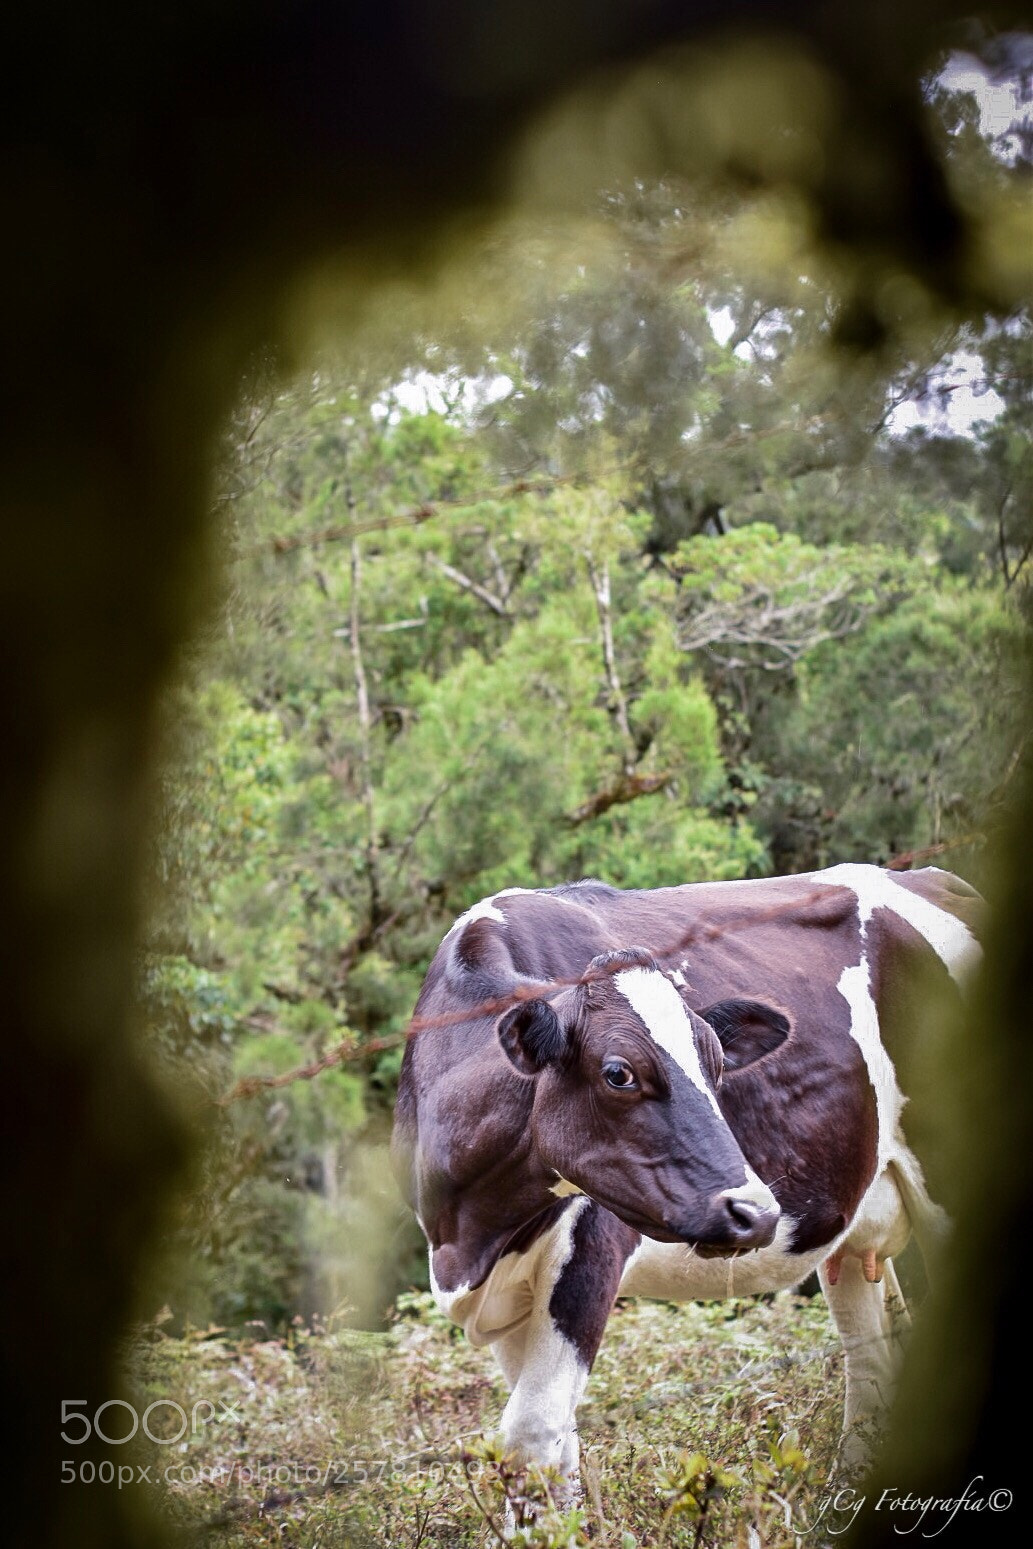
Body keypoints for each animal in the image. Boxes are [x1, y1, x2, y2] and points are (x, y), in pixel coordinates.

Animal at [391, 864, 982, 1495]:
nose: (757, 1212)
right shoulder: (502, 1292)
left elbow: (532, 1435)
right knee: (871, 1356)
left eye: (720, 1063)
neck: (471, 1232)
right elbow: (553, 1449)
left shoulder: (589, 1250)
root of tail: (933, 876)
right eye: (619, 1073)